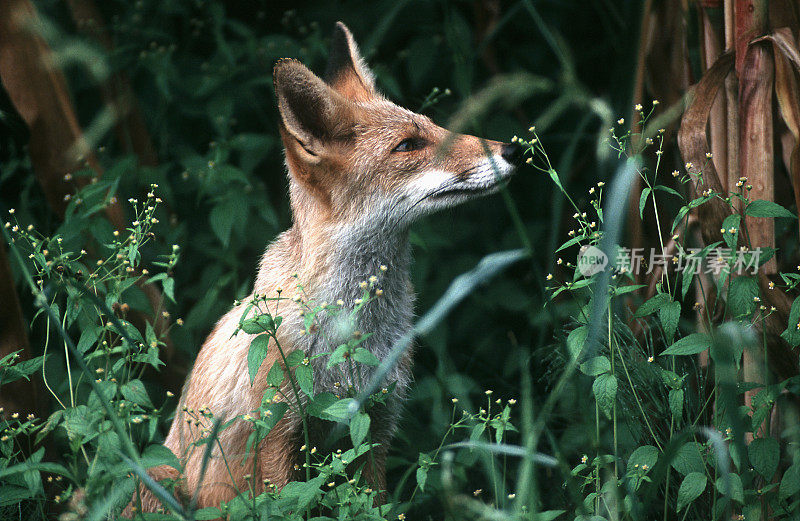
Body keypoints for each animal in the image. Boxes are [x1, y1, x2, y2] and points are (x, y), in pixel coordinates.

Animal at [127, 21, 520, 516]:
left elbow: (372, 504)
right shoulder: (277, 434)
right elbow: (288, 504)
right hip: (156, 479)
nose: (513, 149)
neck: (351, 328)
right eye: (408, 145)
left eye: (434, 126)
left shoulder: (373, 427)